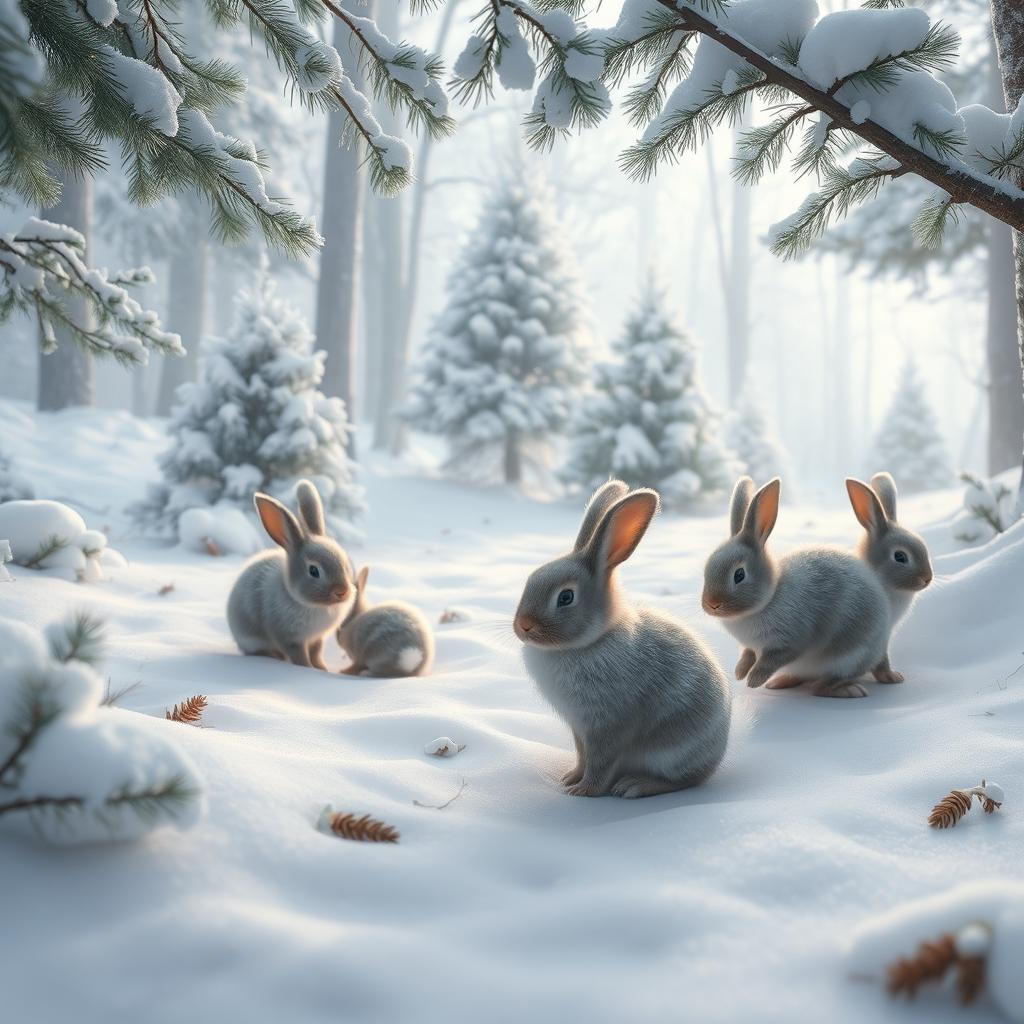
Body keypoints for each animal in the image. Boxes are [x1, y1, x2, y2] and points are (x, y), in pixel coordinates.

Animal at [227, 480, 354, 668]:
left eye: (345, 563)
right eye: (314, 571)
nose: (342, 591)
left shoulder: (317, 638)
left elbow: (316, 652)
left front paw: (321, 668)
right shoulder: (290, 638)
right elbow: (299, 656)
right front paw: (307, 668)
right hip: (251, 639)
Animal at [514, 480, 732, 799]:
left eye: (565, 597)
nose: (523, 626)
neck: (591, 642)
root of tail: (716, 758)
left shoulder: (609, 725)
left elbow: (601, 761)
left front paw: (584, 791)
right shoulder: (579, 729)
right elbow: (582, 756)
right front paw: (570, 779)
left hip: (671, 752)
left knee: (684, 780)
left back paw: (635, 786)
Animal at [702, 476, 892, 699]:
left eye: (739, 575)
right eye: (707, 568)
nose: (711, 604)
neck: (771, 596)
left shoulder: (791, 638)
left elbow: (772, 659)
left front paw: (753, 680)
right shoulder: (750, 646)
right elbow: (748, 654)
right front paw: (740, 673)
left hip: (847, 659)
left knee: (823, 685)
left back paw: (848, 690)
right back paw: (780, 682)